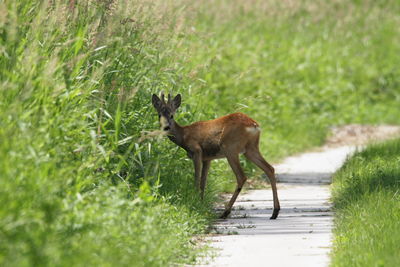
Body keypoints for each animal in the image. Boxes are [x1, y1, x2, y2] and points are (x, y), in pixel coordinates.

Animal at [152, 92, 280, 220]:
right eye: (159, 115)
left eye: (172, 115)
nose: (166, 127)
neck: (184, 136)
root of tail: (254, 125)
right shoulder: (207, 158)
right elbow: (203, 182)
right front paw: (201, 203)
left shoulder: (197, 151)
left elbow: (196, 179)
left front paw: (194, 202)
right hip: (251, 149)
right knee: (269, 168)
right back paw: (275, 212)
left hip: (230, 148)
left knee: (241, 176)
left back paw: (225, 212)